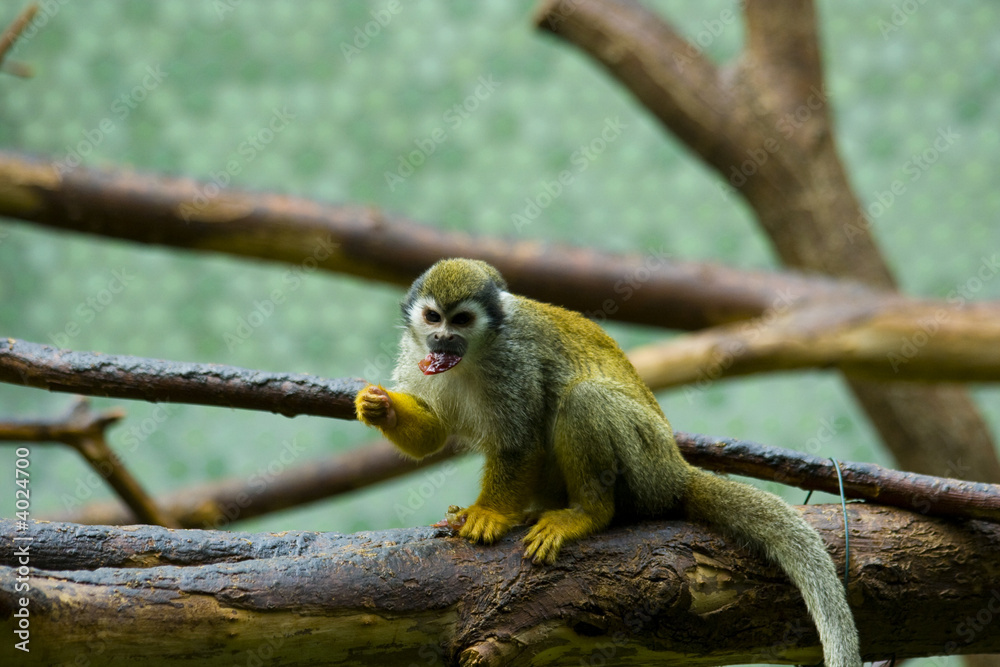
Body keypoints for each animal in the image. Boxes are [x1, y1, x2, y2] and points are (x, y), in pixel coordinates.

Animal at [355, 258, 861, 667]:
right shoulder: (419, 354)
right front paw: (380, 407)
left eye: (461, 319)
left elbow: (520, 442)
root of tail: (676, 473)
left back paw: (586, 514)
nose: (442, 336)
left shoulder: (513, 361)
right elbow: (434, 433)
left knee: (584, 399)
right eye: (432, 317)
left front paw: (489, 514)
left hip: (647, 467)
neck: (474, 353)